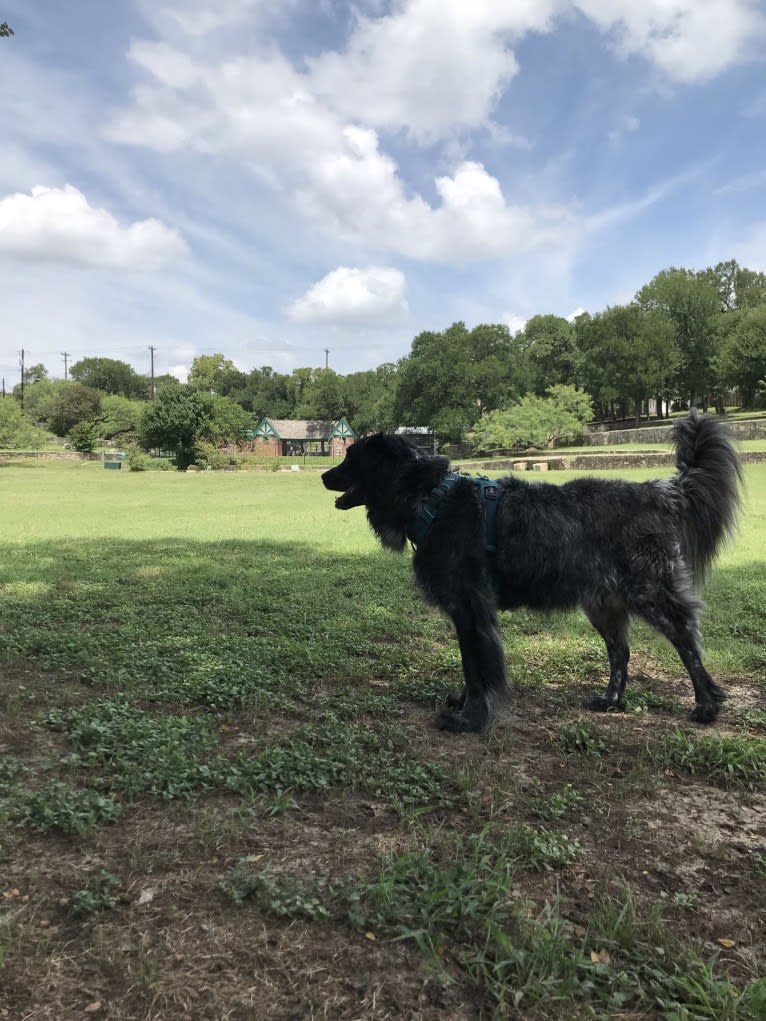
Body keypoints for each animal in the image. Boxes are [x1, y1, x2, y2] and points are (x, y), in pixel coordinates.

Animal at [324, 414, 743, 735]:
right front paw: (464, 704)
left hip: (651, 594)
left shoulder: (472, 608)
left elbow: (479, 670)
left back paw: (707, 705)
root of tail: (657, 493)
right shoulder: (463, 611)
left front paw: (470, 720)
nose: (325, 476)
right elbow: (469, 667)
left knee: (688, 642)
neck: (431, 499)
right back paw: (612, 700)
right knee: (621, 651)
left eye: (351, 458)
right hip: (603, 605)